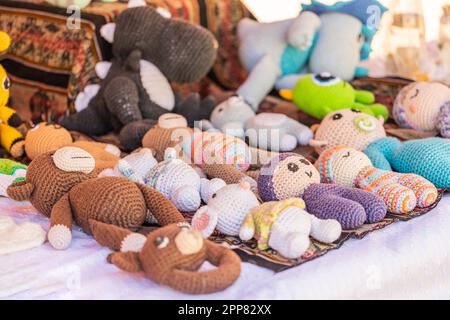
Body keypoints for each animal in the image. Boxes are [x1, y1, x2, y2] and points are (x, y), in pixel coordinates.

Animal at [60, 0, 219, 141]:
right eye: (163, 33)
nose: (214, 43)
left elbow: (178, 101)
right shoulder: (124, 78)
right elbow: (121, 90)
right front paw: (138, 125)